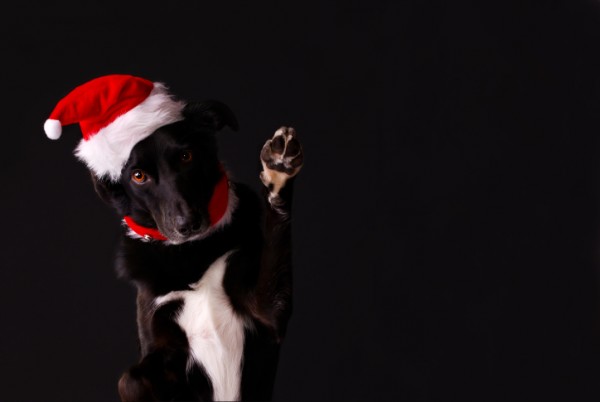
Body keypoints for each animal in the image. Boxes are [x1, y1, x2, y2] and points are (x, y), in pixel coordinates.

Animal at [45, 77, 304, 400]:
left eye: (186, 156)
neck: (191, 255)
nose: (187, 224)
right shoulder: (157, 340)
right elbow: (130, 379)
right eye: (138, 176)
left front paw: (279, 167)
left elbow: (276, 226)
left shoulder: (268, 312)